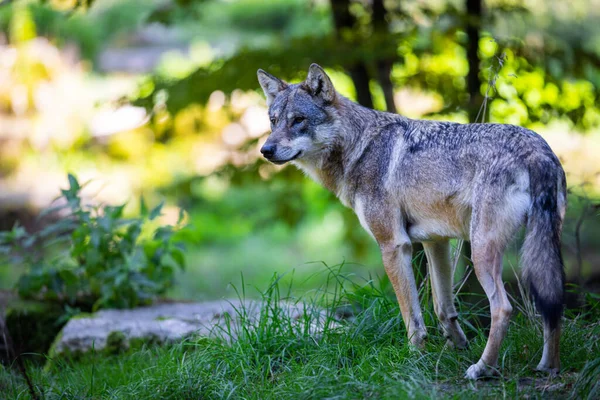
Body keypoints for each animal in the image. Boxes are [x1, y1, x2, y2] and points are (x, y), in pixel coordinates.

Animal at [256, 64, 568, 380]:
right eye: (273, 121)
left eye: (298, 120)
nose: (265, 150)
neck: (358, 148)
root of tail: (537, 150)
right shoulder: (436, 242)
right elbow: (443, 307)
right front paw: (456, 347)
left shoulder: (394, 246)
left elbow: (411, 315)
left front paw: (414, 358)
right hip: (540, 247)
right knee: (553, 302)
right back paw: (548, 367)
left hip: (482, 252)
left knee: (503, 308)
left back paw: (483, 368)